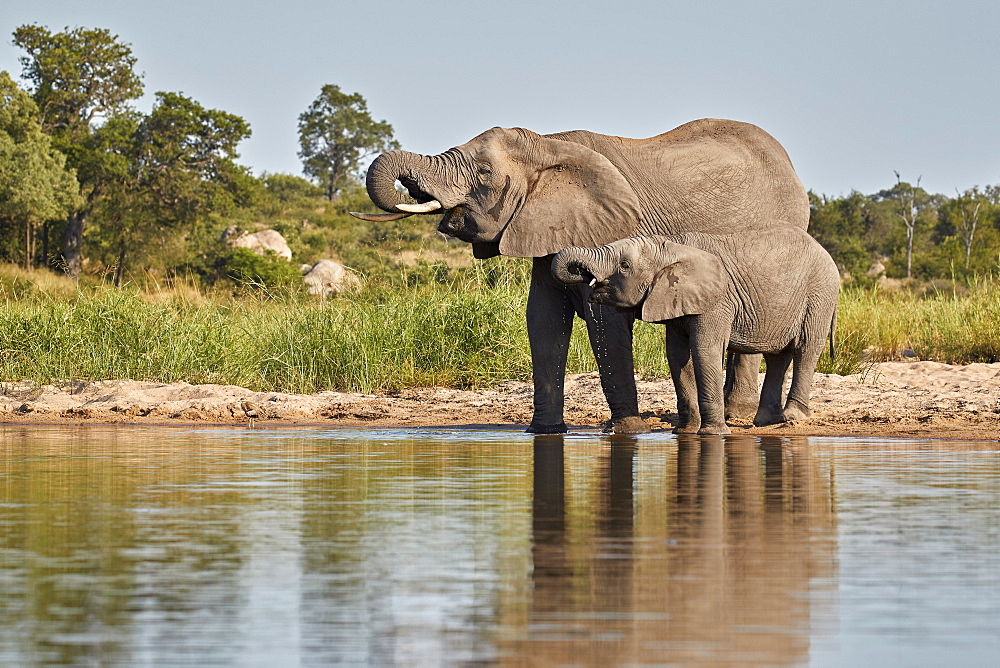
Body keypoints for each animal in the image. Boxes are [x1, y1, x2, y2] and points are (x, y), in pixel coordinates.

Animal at [348, 118, 808, 436]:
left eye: (483, 174)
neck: (547, 142)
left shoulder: (605, 229)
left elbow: (604, 321)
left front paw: (626, 431)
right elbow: (543, 320)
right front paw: (544, 432)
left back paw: (735, 415)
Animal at [552, 230, 840, 436]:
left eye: (624, 265)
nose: (586, 277)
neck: (672, 247)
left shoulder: (716, 301)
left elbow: (705, 351)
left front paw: (713, 434)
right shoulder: (675, 299)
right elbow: (678, 356)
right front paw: (685, 432)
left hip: (820, 296)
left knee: (805, 349)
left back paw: (793, 418)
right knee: (778, 357)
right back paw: (766, 423)